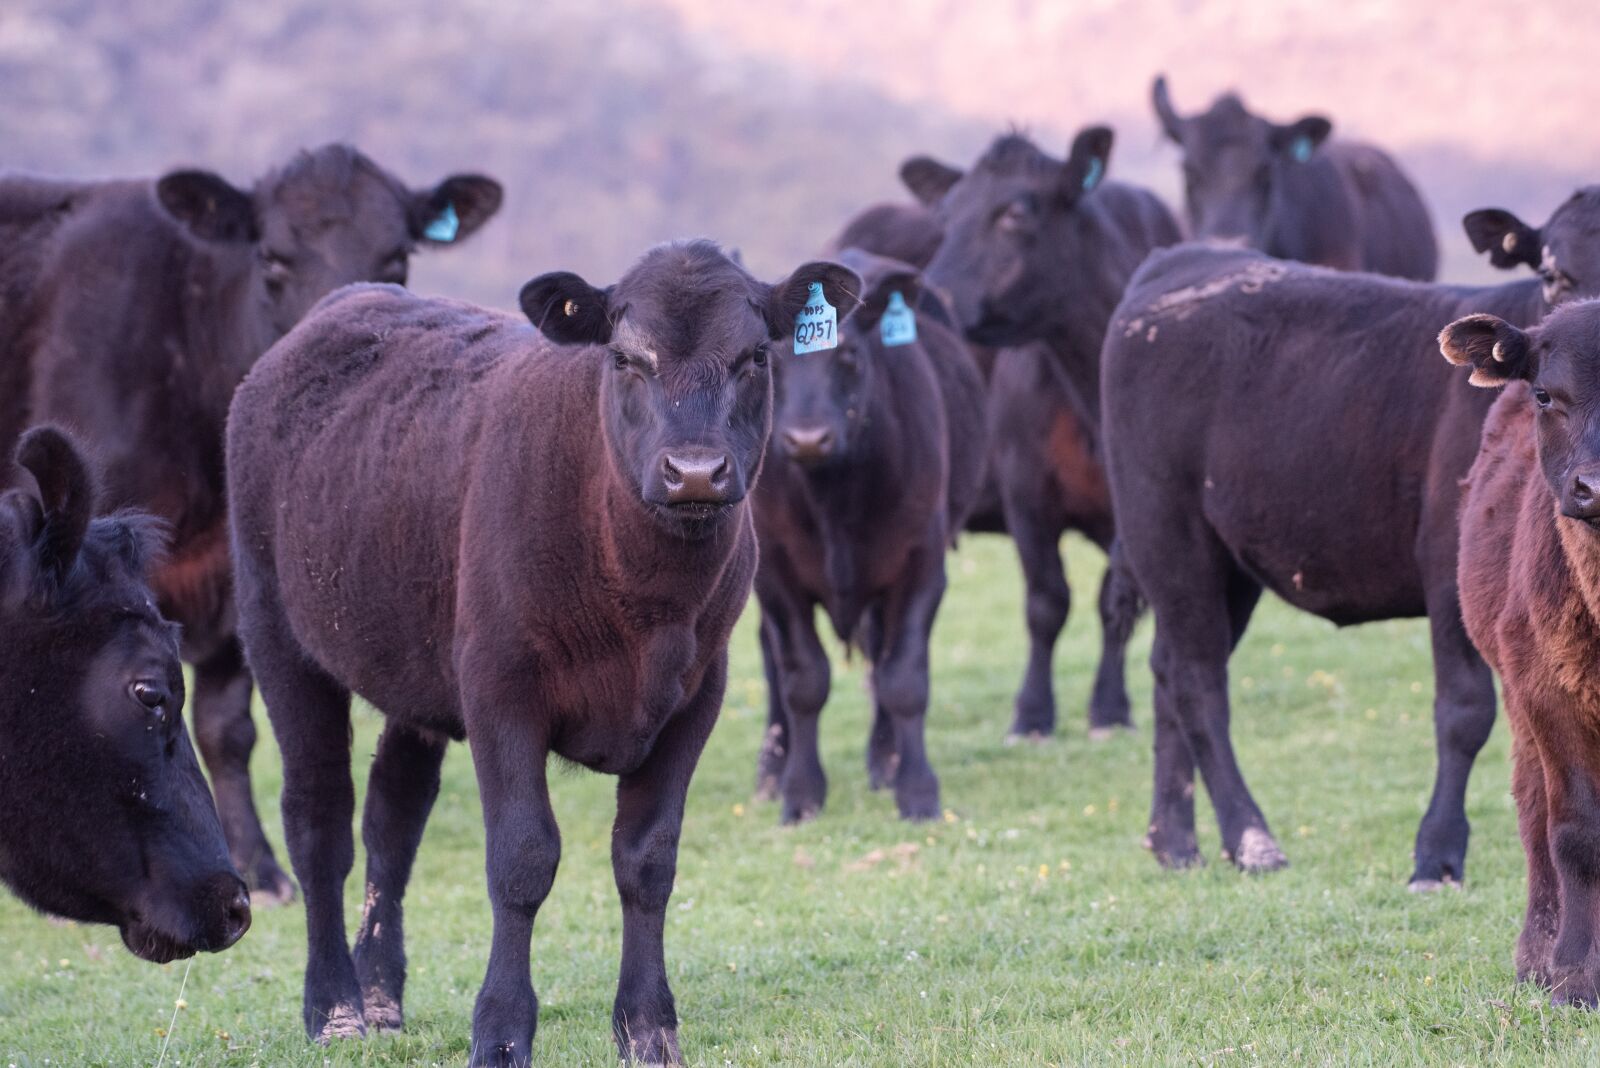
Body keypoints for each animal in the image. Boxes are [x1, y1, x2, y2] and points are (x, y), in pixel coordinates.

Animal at [226, 242, 859, 1066]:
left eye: (756, 356)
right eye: (625, 357)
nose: (693, 471)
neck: (645, 601)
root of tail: (345, 304)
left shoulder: (698, 694)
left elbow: (648, 859)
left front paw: (648, 1026)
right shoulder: (501, 689)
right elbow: (523, 860)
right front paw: (500, 1030)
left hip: (416, 668)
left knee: (393, 819)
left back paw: (381, 994)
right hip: (277, 632)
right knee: (318, 817)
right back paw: (335, 1007)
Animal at [752, 248, 987, 823]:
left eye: (851, 355)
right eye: (769, 360)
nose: (807, 438)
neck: (832, 499)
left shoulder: (921, 567)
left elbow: (902, 678)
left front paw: (917, 788)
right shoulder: (775, 577)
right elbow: (802, 681)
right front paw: (799, 793)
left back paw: (885, 761)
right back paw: (771, 770)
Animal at [911, 124, 1184, 736]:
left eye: (1015, 213)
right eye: (946, 214)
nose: (928, 295)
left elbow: (1114, 602)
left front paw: (1110, 707)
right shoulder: (1024, 490)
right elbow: (1046, 601)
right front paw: (1032, 714)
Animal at [1098, 188, 1600, 887]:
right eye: (1553, 272)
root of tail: (1181, 259)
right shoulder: (1447, 564)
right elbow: (1465, 710)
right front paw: (1436, 852)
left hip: (1226, 559)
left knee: (1171, 667)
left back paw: (1174, 840)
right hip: (1164, 529)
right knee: (1197, 680)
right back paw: (1251, 838)